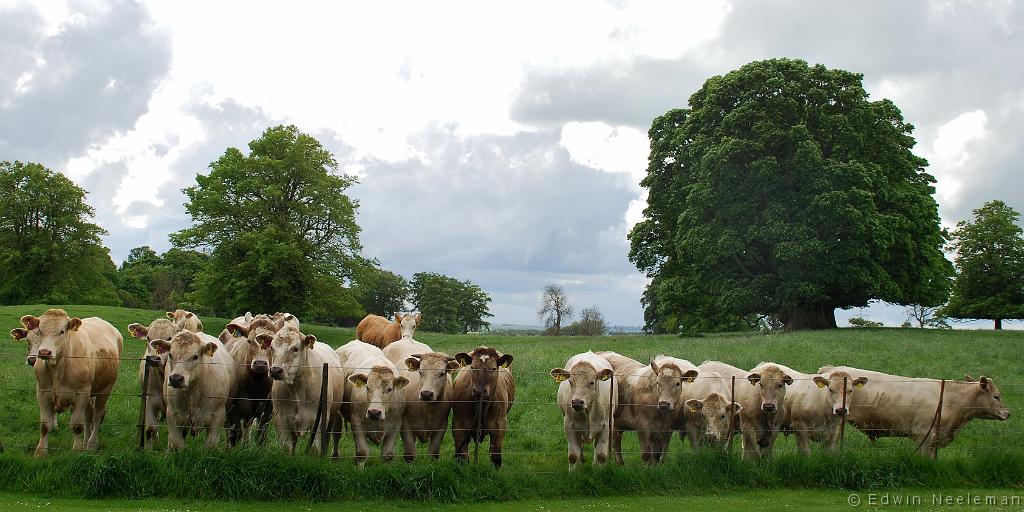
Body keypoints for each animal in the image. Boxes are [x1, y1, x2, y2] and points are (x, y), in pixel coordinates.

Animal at [16, 307, 121, 456]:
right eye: (40, 330)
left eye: (62, 331)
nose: (44, 352)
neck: (58, 368)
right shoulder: (42, 392)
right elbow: (45, 425)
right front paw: (40, 452)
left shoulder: (81, 394)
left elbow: (76, 425)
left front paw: (76, 450)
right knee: (89, 415)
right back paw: (85, 441)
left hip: (105, 389)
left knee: (97, 415)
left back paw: (91, 444)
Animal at [268, 327, 344, 456]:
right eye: (271, 347)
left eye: (295, 348)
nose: (275, 370)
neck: (298, 390)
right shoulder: (281, 418)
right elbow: (287, 447)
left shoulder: (320, 420)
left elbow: (315, 449)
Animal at [339, 339, 411, 468]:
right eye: (367, 387)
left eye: (390, 389)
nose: (374, 412)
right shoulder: (357, 423)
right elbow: (362, 452)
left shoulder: (395, 425)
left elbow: (388, 454)